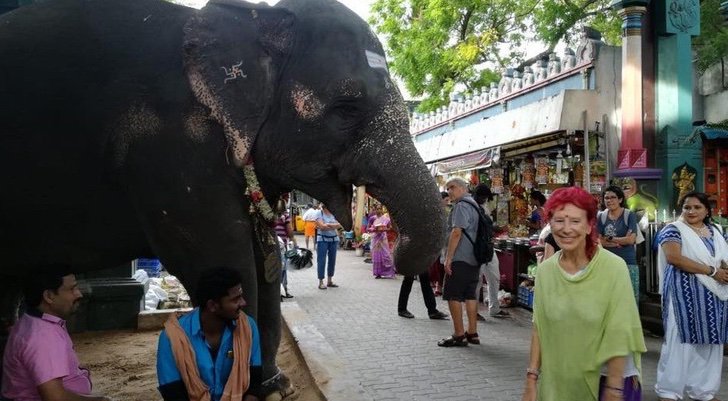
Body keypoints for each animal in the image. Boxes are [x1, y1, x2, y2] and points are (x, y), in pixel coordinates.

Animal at [0, 0, 444, 396]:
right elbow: (224, 260)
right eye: (347, 107)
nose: (384, 241)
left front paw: (273, 387)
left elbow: (265, 261)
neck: (252, 17)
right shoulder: (169, 148)